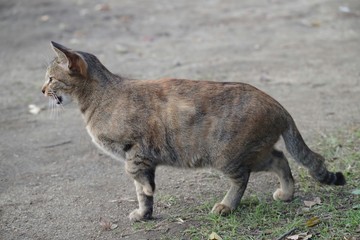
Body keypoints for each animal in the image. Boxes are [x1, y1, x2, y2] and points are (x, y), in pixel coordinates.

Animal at [41, 41, 346, 221]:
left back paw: (227, 206)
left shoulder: (136, 152)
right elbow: (144, 191)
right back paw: (286, 193)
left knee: (243, 178)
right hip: (255, 152)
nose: (42, 90)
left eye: (51, 78)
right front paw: (145, 213)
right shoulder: (140, 157)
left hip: (227, 155)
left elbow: (141, 184)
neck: (101, 97)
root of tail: (278, 105)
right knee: (281, 159)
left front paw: (144, 205)